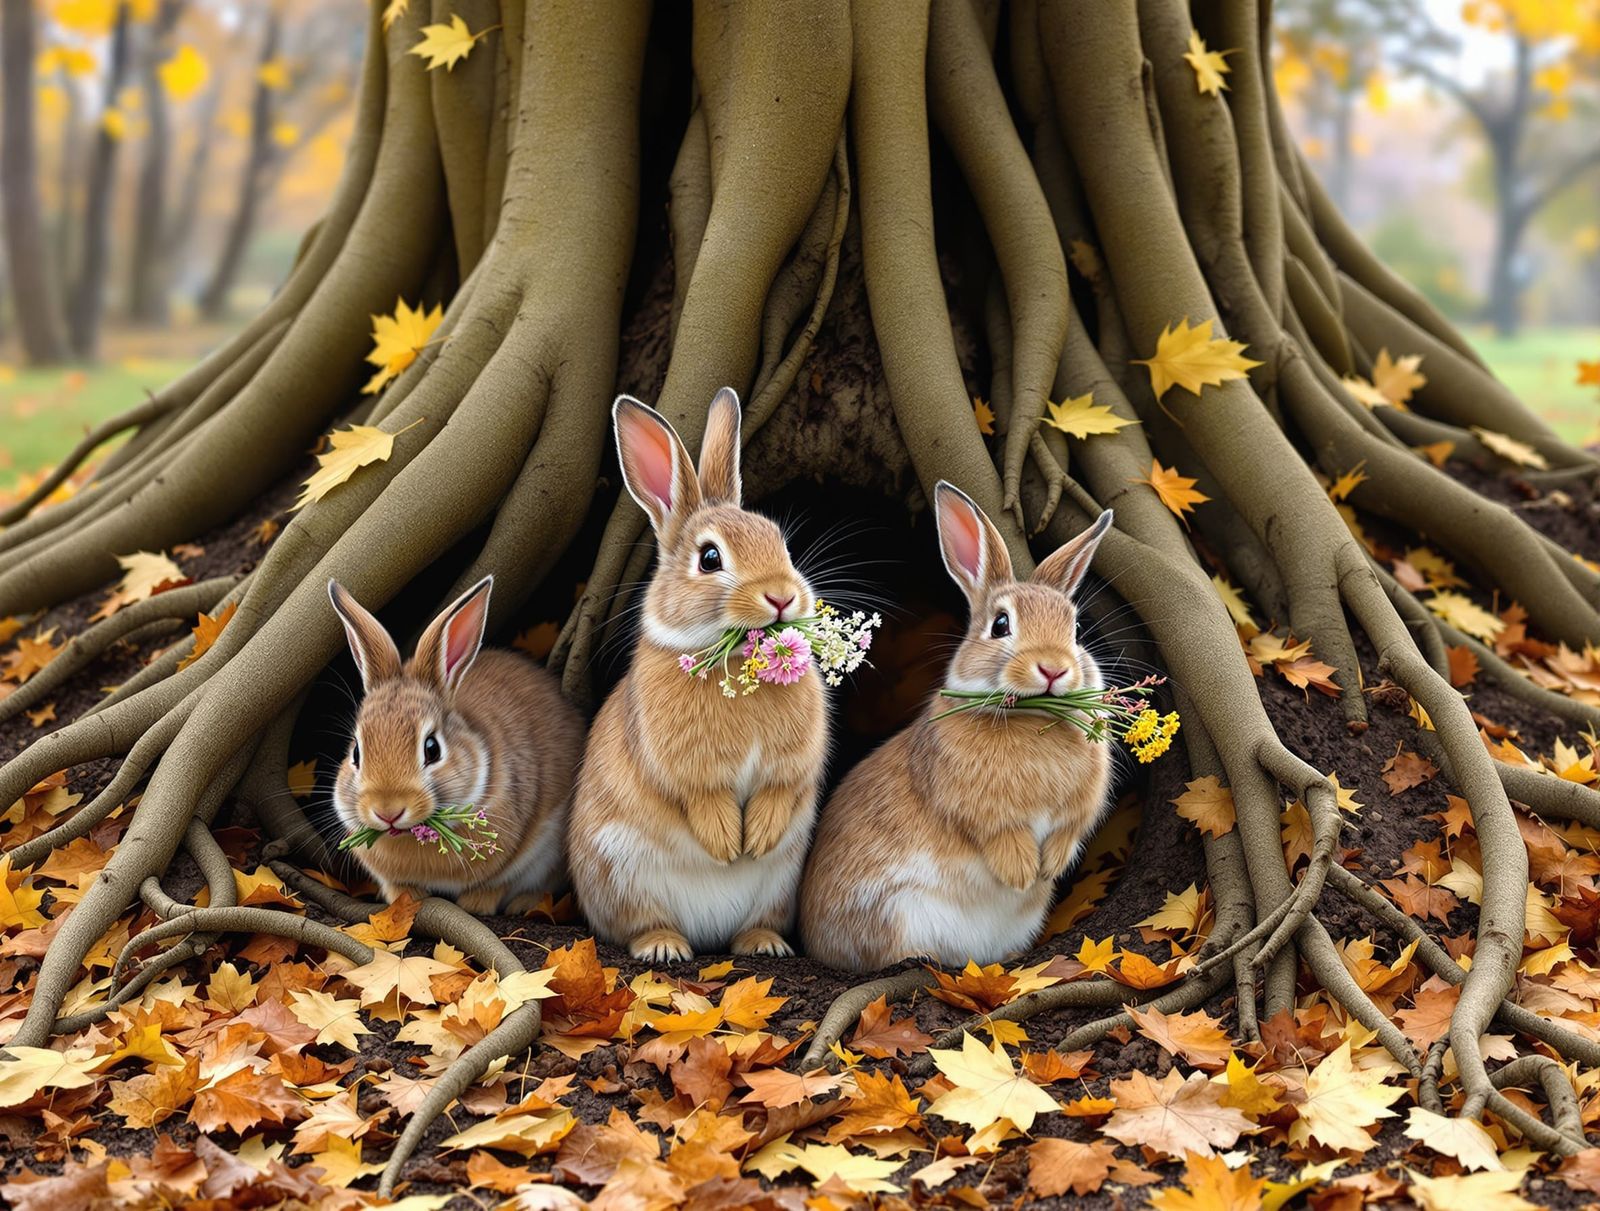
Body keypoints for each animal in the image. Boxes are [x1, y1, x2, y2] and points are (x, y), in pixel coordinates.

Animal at [328, 574, 585, 914]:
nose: (388, 810)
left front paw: (477, 904)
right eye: (356, 752)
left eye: (432, 748)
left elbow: (499, 881)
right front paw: (405, 897)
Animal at [567, 388, 830, 964]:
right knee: (642, 924)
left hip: (780, 883)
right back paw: (665, 947)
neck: (739, 664)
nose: (782, 596)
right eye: (710, 558)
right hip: (620, 871)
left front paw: (757, 836)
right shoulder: (680, 764)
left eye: (780, 542)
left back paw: (763, 944)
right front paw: (727, 843)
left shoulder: (795, 761)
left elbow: (783, 786)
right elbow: (697, 794)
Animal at [799, 483, 1114, 972]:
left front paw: (1047, 869)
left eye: (1076, 628)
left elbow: (1067, 833)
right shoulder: (978, 809)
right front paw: (1022, 871)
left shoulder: (1078, 811)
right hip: (898, 911)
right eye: (1000, 625)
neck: (1033, 717)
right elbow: (996, 834)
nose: (1053, 669)